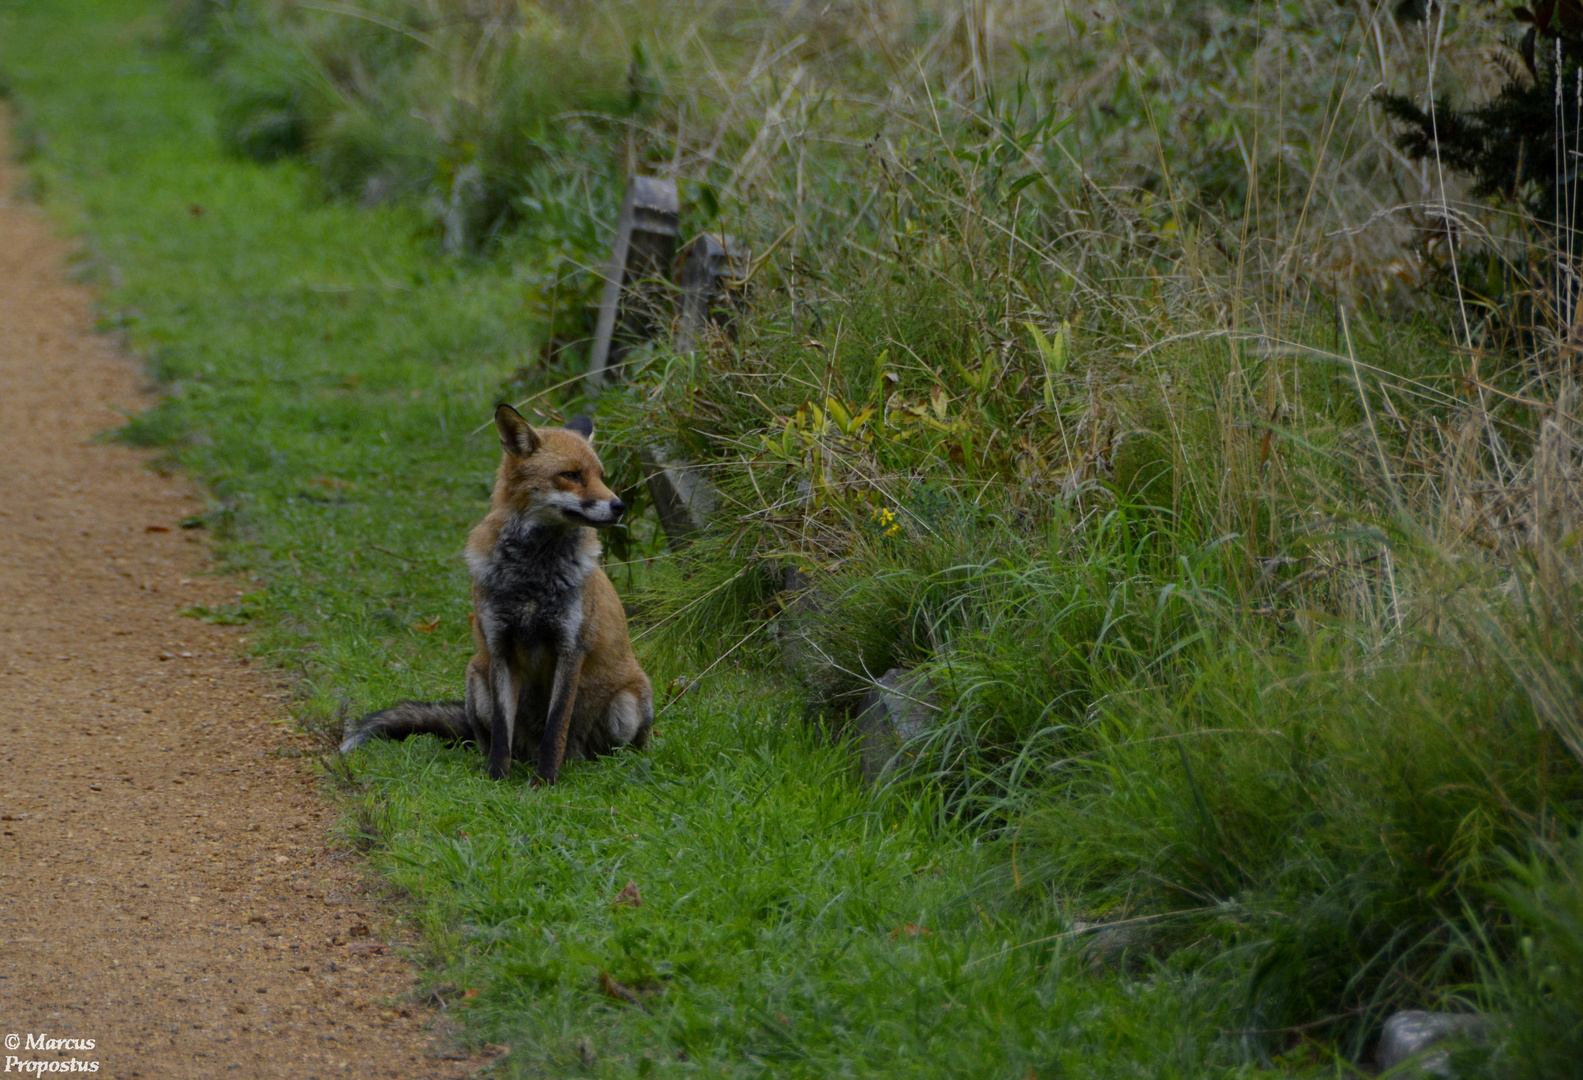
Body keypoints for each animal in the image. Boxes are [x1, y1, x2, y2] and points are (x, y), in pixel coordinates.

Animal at [338, 403, 649, 782]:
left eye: (602, 476)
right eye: (571, 475)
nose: (620, 506)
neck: (532, 578)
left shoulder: (570, 649)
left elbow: (555, 730)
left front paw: (545, 782)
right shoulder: (501, 646)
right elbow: (503, 731)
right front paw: (497, 778)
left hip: (627, 705)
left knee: (605, 750)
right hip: (476, 679)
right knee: (492, 739)